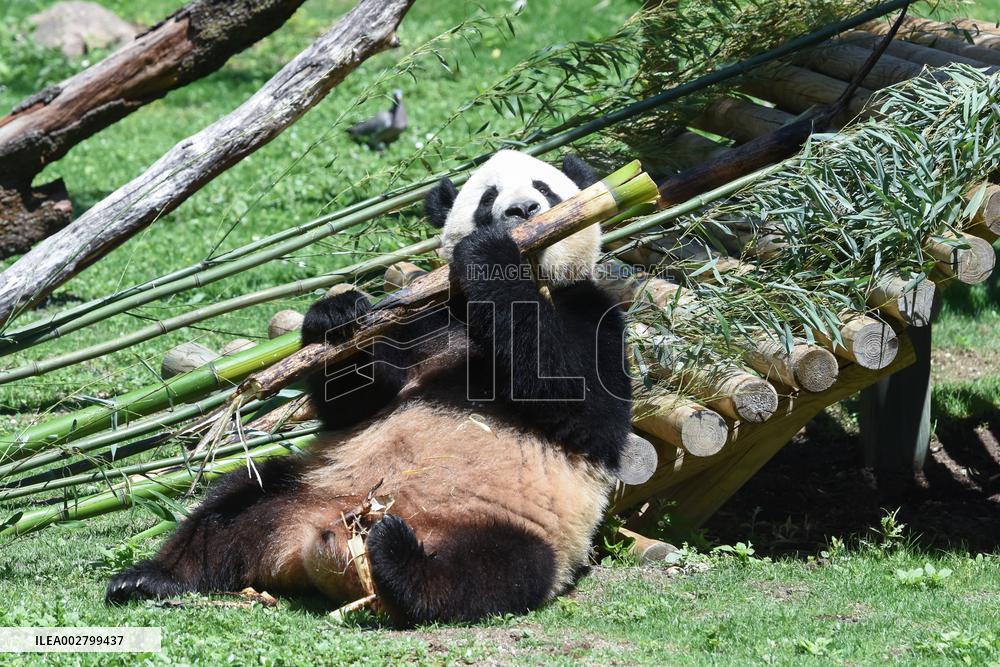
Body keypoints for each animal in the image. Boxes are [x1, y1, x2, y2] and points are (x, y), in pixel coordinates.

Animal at [106, 150, 633, 626]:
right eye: (489, 197)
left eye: (545, 188)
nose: (523, 211)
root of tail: (314, 549)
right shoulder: (420, 317)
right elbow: (356, 402)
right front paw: (335, 316)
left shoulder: (597, 313)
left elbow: (584, 407)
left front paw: (491, 256)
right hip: (308, 486)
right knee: (234, 503)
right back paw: (149, 577)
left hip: (519, 524)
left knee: (494, 572)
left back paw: (399, 561)